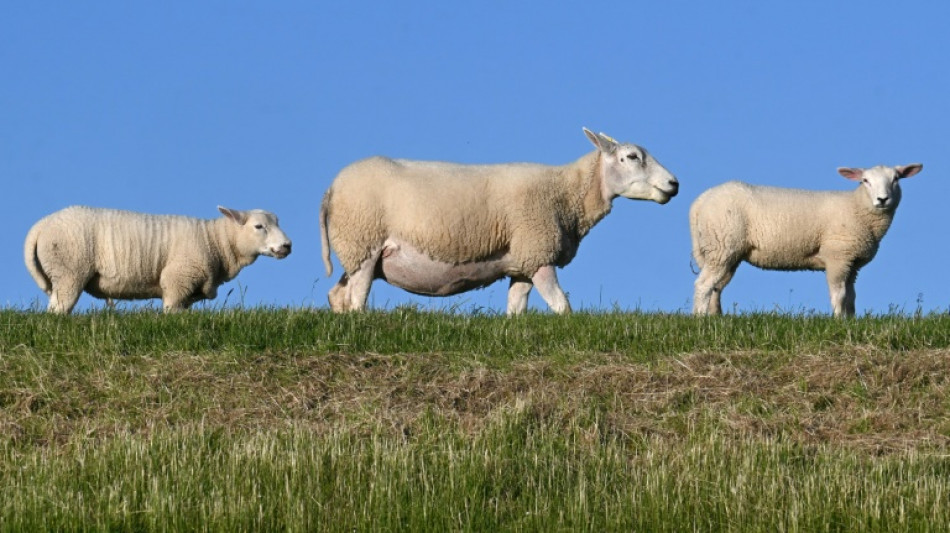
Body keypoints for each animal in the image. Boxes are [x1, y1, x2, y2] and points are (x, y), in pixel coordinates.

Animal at [26, 204, 294, 312]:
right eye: (259, 227)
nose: (287, 246)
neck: (215, 241)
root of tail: (41, 225)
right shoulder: (178, 280)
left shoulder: (189, 292)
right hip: (69, 271)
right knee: (58, 309)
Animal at [324, 127, 680, 314]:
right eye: (631, 157)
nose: (674, 184)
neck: (565, 193)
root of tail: (332, 188)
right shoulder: (539, 252)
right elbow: (561, 306)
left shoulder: (522, 262)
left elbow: (516, 308)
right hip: (364, 243)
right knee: (356, 297)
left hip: (357, 252)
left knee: (337, 295)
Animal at [696, 163, 924, 316]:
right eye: (865, 181)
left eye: (896, 179)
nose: (882, 199)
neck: (856, 207)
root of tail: (700, 201)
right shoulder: (837, 257)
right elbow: (839, 294)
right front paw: (839, 321)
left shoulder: (852, 262)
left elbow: (851, 297)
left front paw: (851, 321)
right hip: (722, 244)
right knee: (703, 285)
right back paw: (699, 319)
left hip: (726, 252)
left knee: (716, 288)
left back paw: (716, 318)